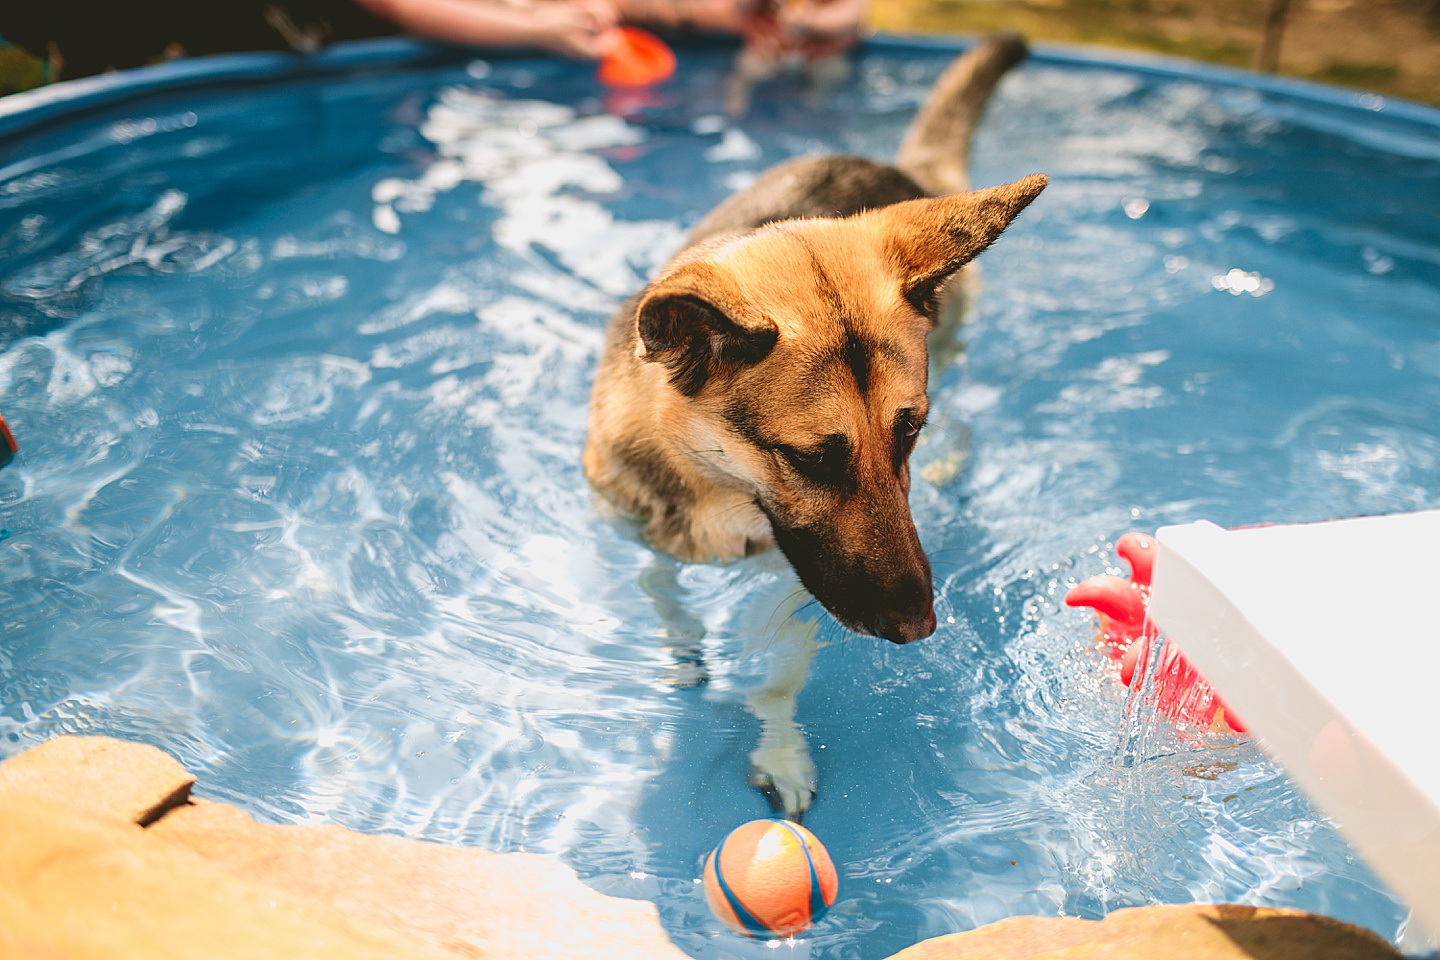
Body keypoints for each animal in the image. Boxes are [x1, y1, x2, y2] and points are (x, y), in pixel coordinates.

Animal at [584, 37, 1048, 817]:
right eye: (809, 459)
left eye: (908, 431)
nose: (918, 628)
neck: (721, 484)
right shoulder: (639, 532)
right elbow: (666, 599)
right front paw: (684, 656)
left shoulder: (798, 582)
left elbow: (775, 679)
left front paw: (779, 752)